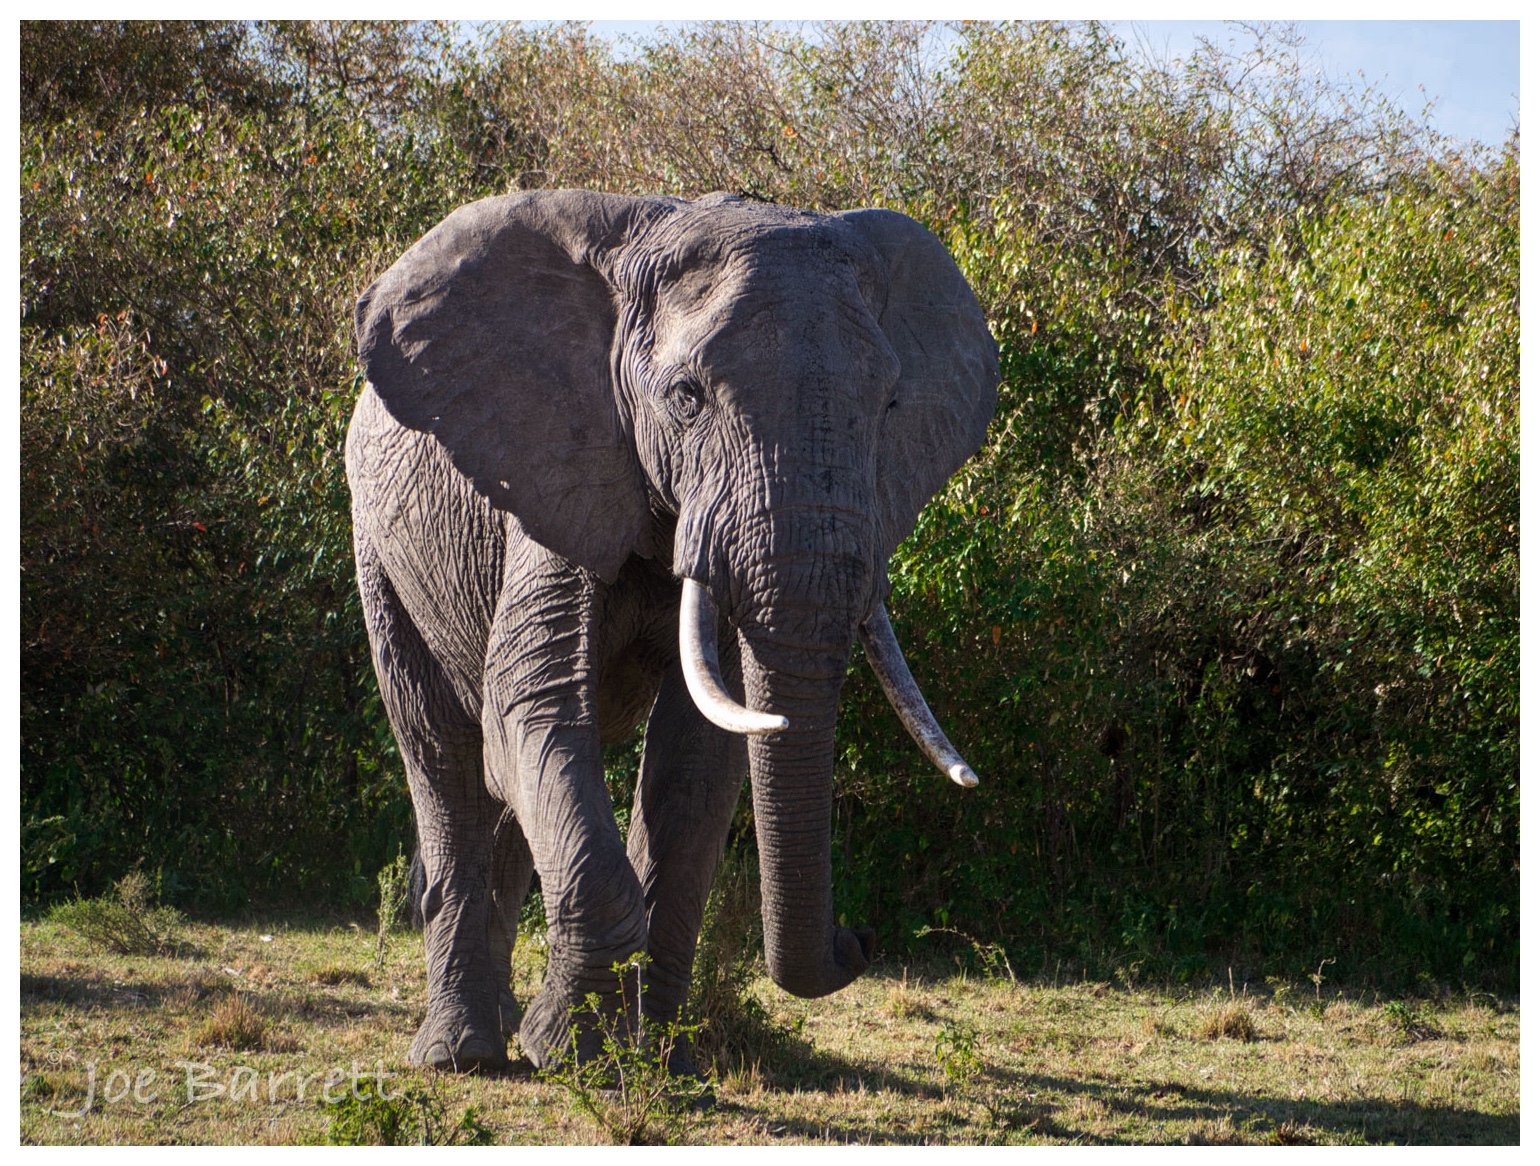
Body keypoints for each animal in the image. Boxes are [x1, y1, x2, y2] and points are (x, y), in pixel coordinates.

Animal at [346, 190, 997, 1072]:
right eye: (687, 398)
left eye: (890, 405)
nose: (859, 939)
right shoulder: (564, 460)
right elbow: (532, 707)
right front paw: (573, 1050)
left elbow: (697, 762)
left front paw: (657, 1057)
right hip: (378, 543)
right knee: (445, 757)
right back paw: (460, 1053)